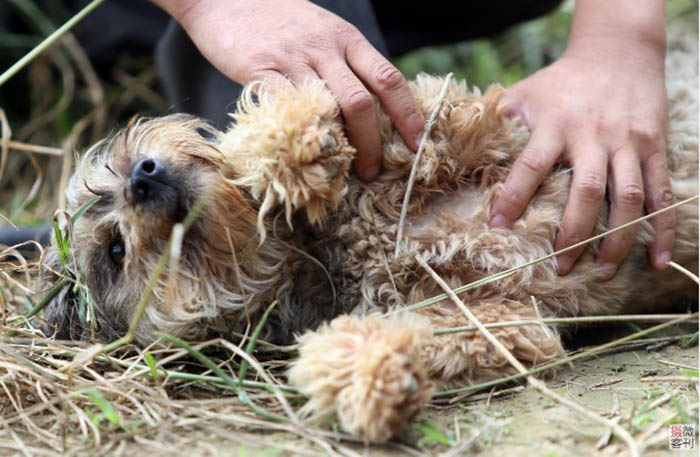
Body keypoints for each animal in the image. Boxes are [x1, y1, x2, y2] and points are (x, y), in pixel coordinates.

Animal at [41, 37, 696, 440]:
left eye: (122, 162)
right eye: (116, 252)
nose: (144, 177)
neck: (332, 251)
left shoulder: (468, 128)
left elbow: (387, 121)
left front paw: (283, 151)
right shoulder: (503, 321)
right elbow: (433, 336)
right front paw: (359, 373)